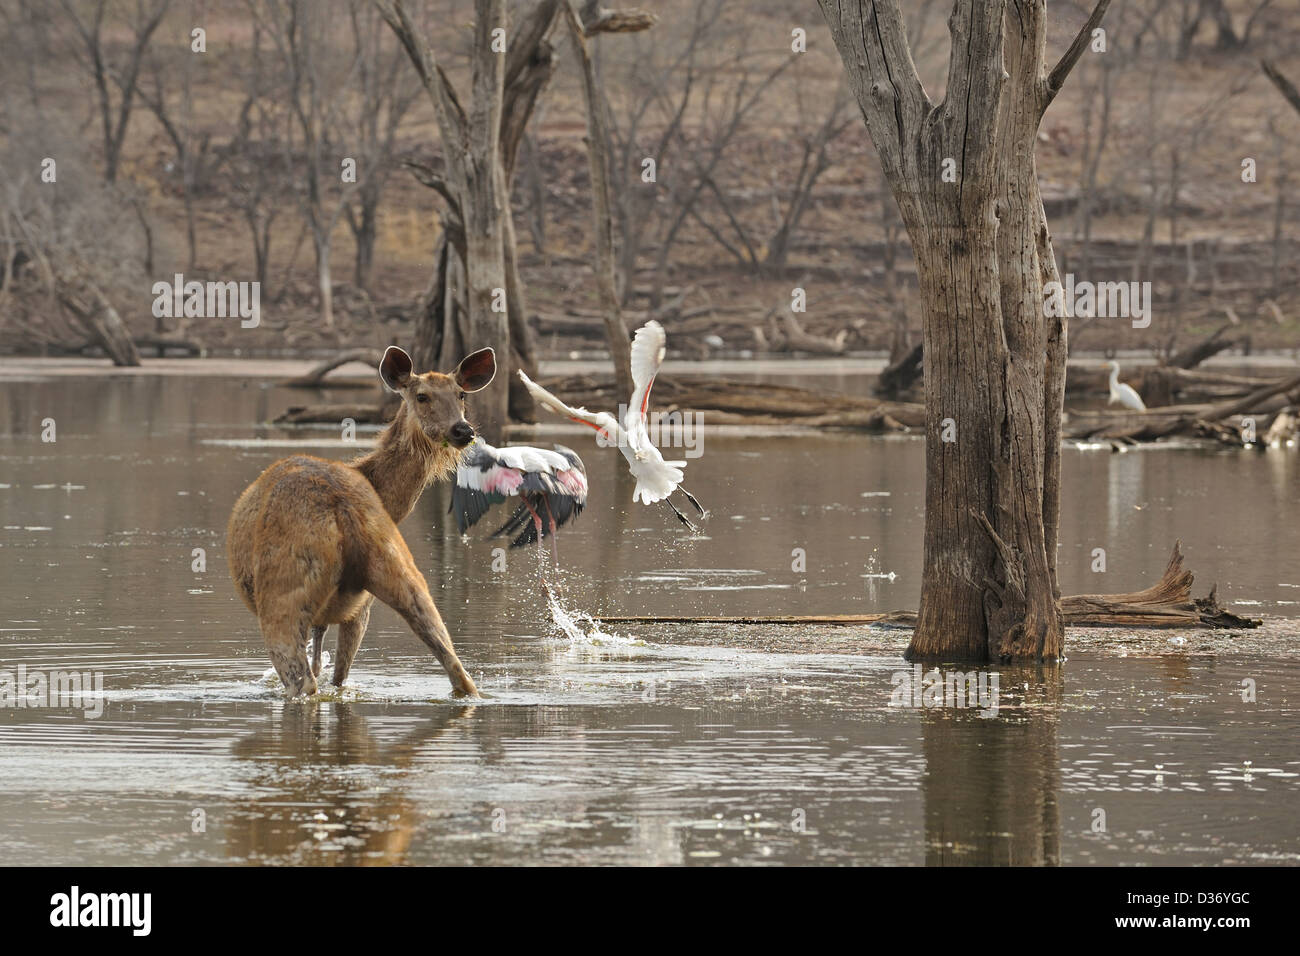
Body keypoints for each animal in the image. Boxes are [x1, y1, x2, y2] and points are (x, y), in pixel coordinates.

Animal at [226, 343, 493, 697]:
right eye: (422, 396)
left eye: (461, 394)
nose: (463, 430)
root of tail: (344, 509)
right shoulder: (354, 610)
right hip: (398, 573)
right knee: (458, 670)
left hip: (282, 595)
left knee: (305, 683)